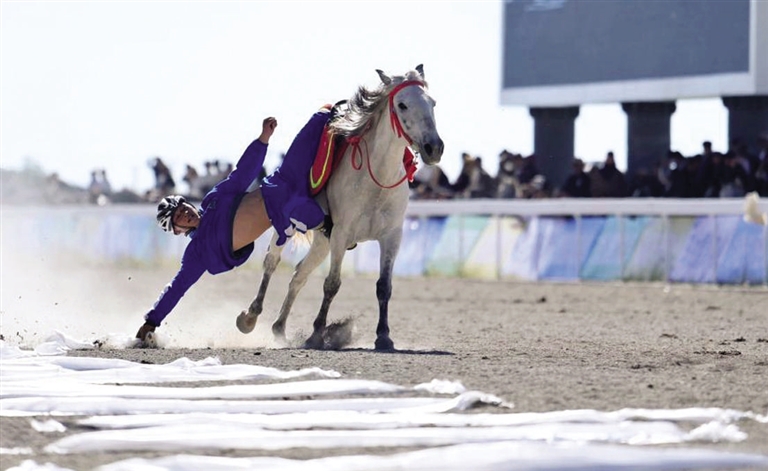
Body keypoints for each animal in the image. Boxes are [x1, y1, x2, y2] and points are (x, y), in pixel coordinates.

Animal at [236, 65, 444, 350]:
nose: (434, 148)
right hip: (289, 226)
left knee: (299, 274)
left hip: (323, 242)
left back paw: (279, 328)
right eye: (402, 105)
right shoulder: (342, 234)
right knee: (271, 262)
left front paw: (384, 336)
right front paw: (316, 334)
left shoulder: (392, 236)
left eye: (432, 103)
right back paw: (251, 316)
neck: (376, 181)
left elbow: (384, 286)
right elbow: (332, 284)